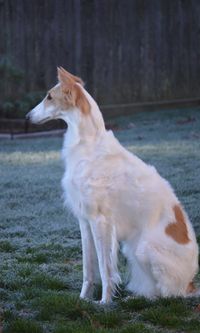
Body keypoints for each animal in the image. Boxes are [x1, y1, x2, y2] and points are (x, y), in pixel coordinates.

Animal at [26, 67, 198, 304]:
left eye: (49, 96)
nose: (27, 117)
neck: (88, 145)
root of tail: (191, 283)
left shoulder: (100, 220)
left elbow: (104, 268)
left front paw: (105, 303)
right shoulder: (84, 219)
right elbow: (88, 269)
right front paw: (83, 299)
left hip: (144, 249)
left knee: (168, 295)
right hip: (132, 250)